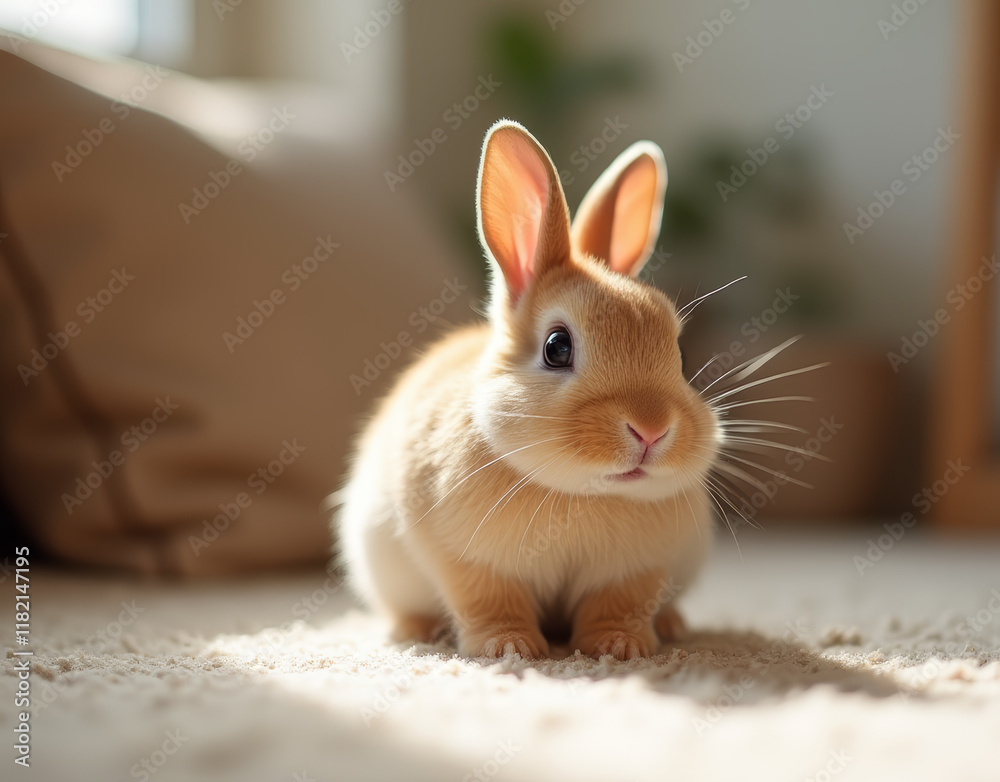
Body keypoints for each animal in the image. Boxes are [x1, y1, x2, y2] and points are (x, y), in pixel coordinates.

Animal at [337, 119, 720, 661]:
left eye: (680, 355)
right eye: (557, 347)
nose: (650, 430)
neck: (583, 492)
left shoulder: (635, 572)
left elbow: (619, 606)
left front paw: (620, 647)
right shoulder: (468, 561)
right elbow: (489, 602)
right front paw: (509, 648)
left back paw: (672, 625)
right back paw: (419, 631)